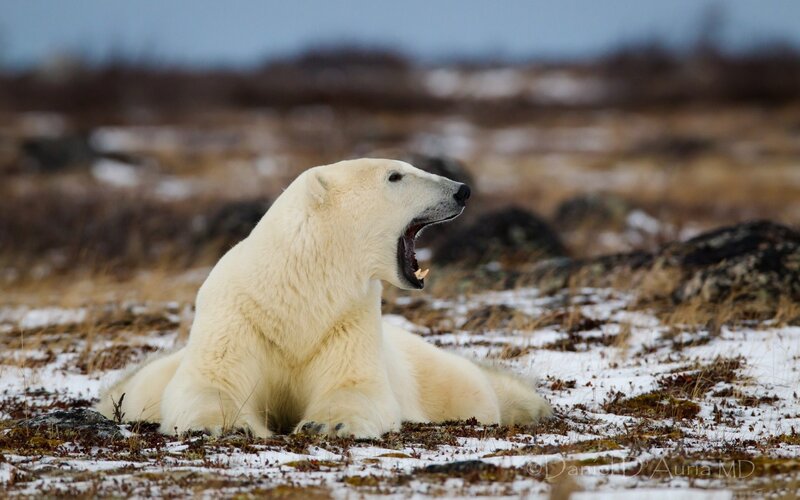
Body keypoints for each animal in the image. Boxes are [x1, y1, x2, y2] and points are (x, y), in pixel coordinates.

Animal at [96, 158, 551, 438]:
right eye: (396, 176)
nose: (462, 190)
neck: (296, 291)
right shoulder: (236, 317)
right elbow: (212, 380)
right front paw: (225, 425)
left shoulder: (348, 319)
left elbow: (354, 383)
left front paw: (324, 425)